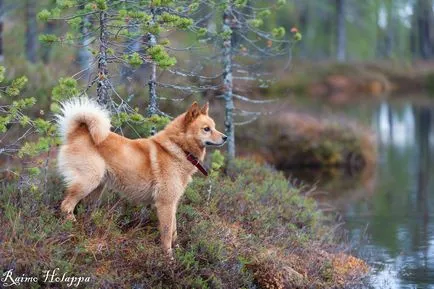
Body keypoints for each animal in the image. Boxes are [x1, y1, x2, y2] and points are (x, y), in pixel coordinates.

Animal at [56, 98, 227, 252]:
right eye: (206, 129)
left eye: (214, 127)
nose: (225, 137)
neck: (178, 147)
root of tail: (77, 132)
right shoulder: (165, 204)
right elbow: (167, 235)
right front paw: (168, 258)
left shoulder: (172, 203)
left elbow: (174, 232)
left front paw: (178, 252)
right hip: (88, 182)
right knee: (66, 206)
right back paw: (73, 227)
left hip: (97, 189)